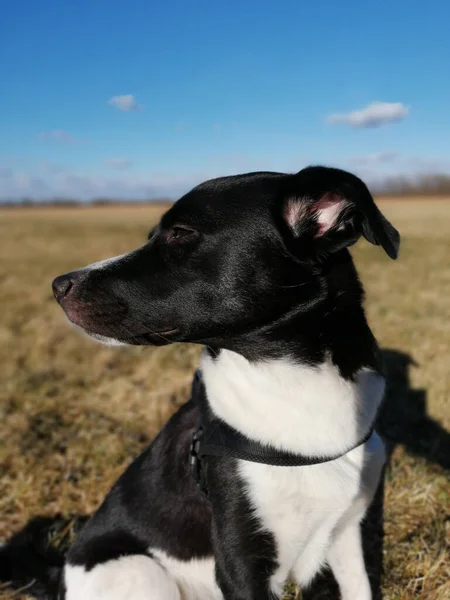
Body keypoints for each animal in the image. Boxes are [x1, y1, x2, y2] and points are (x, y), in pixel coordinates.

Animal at [3, 166, 400, 600]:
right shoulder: (239, 563)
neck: (296, 388)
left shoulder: (346, 532)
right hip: (141, 572)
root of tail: (62, 576)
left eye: (180, 233)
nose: (58, 286)